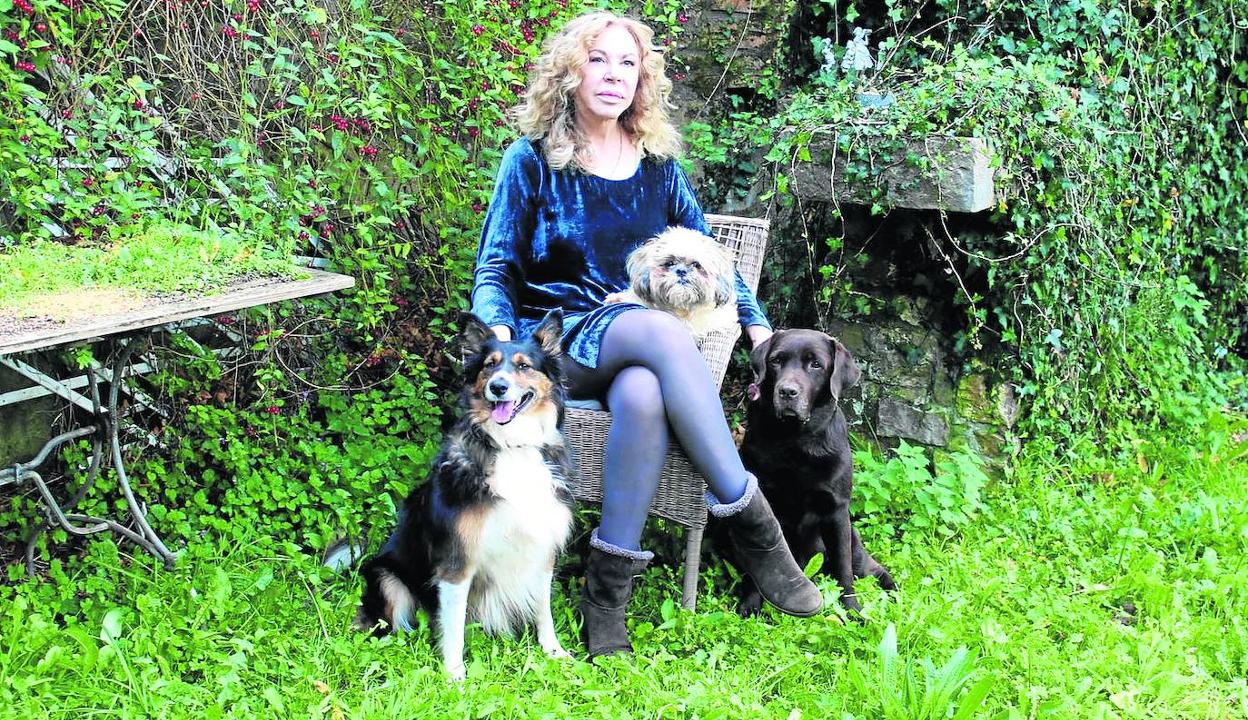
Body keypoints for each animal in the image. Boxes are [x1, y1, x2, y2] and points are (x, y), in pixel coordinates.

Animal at [354, 309, 576, 678]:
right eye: (489, 365)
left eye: (524, 366)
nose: (497, 387)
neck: (511, 447)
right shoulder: (457, 562)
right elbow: (454, 625)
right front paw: (455, 674)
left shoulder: (542, 548)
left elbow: (543, 607)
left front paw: (553, 650)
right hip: (386, 577)